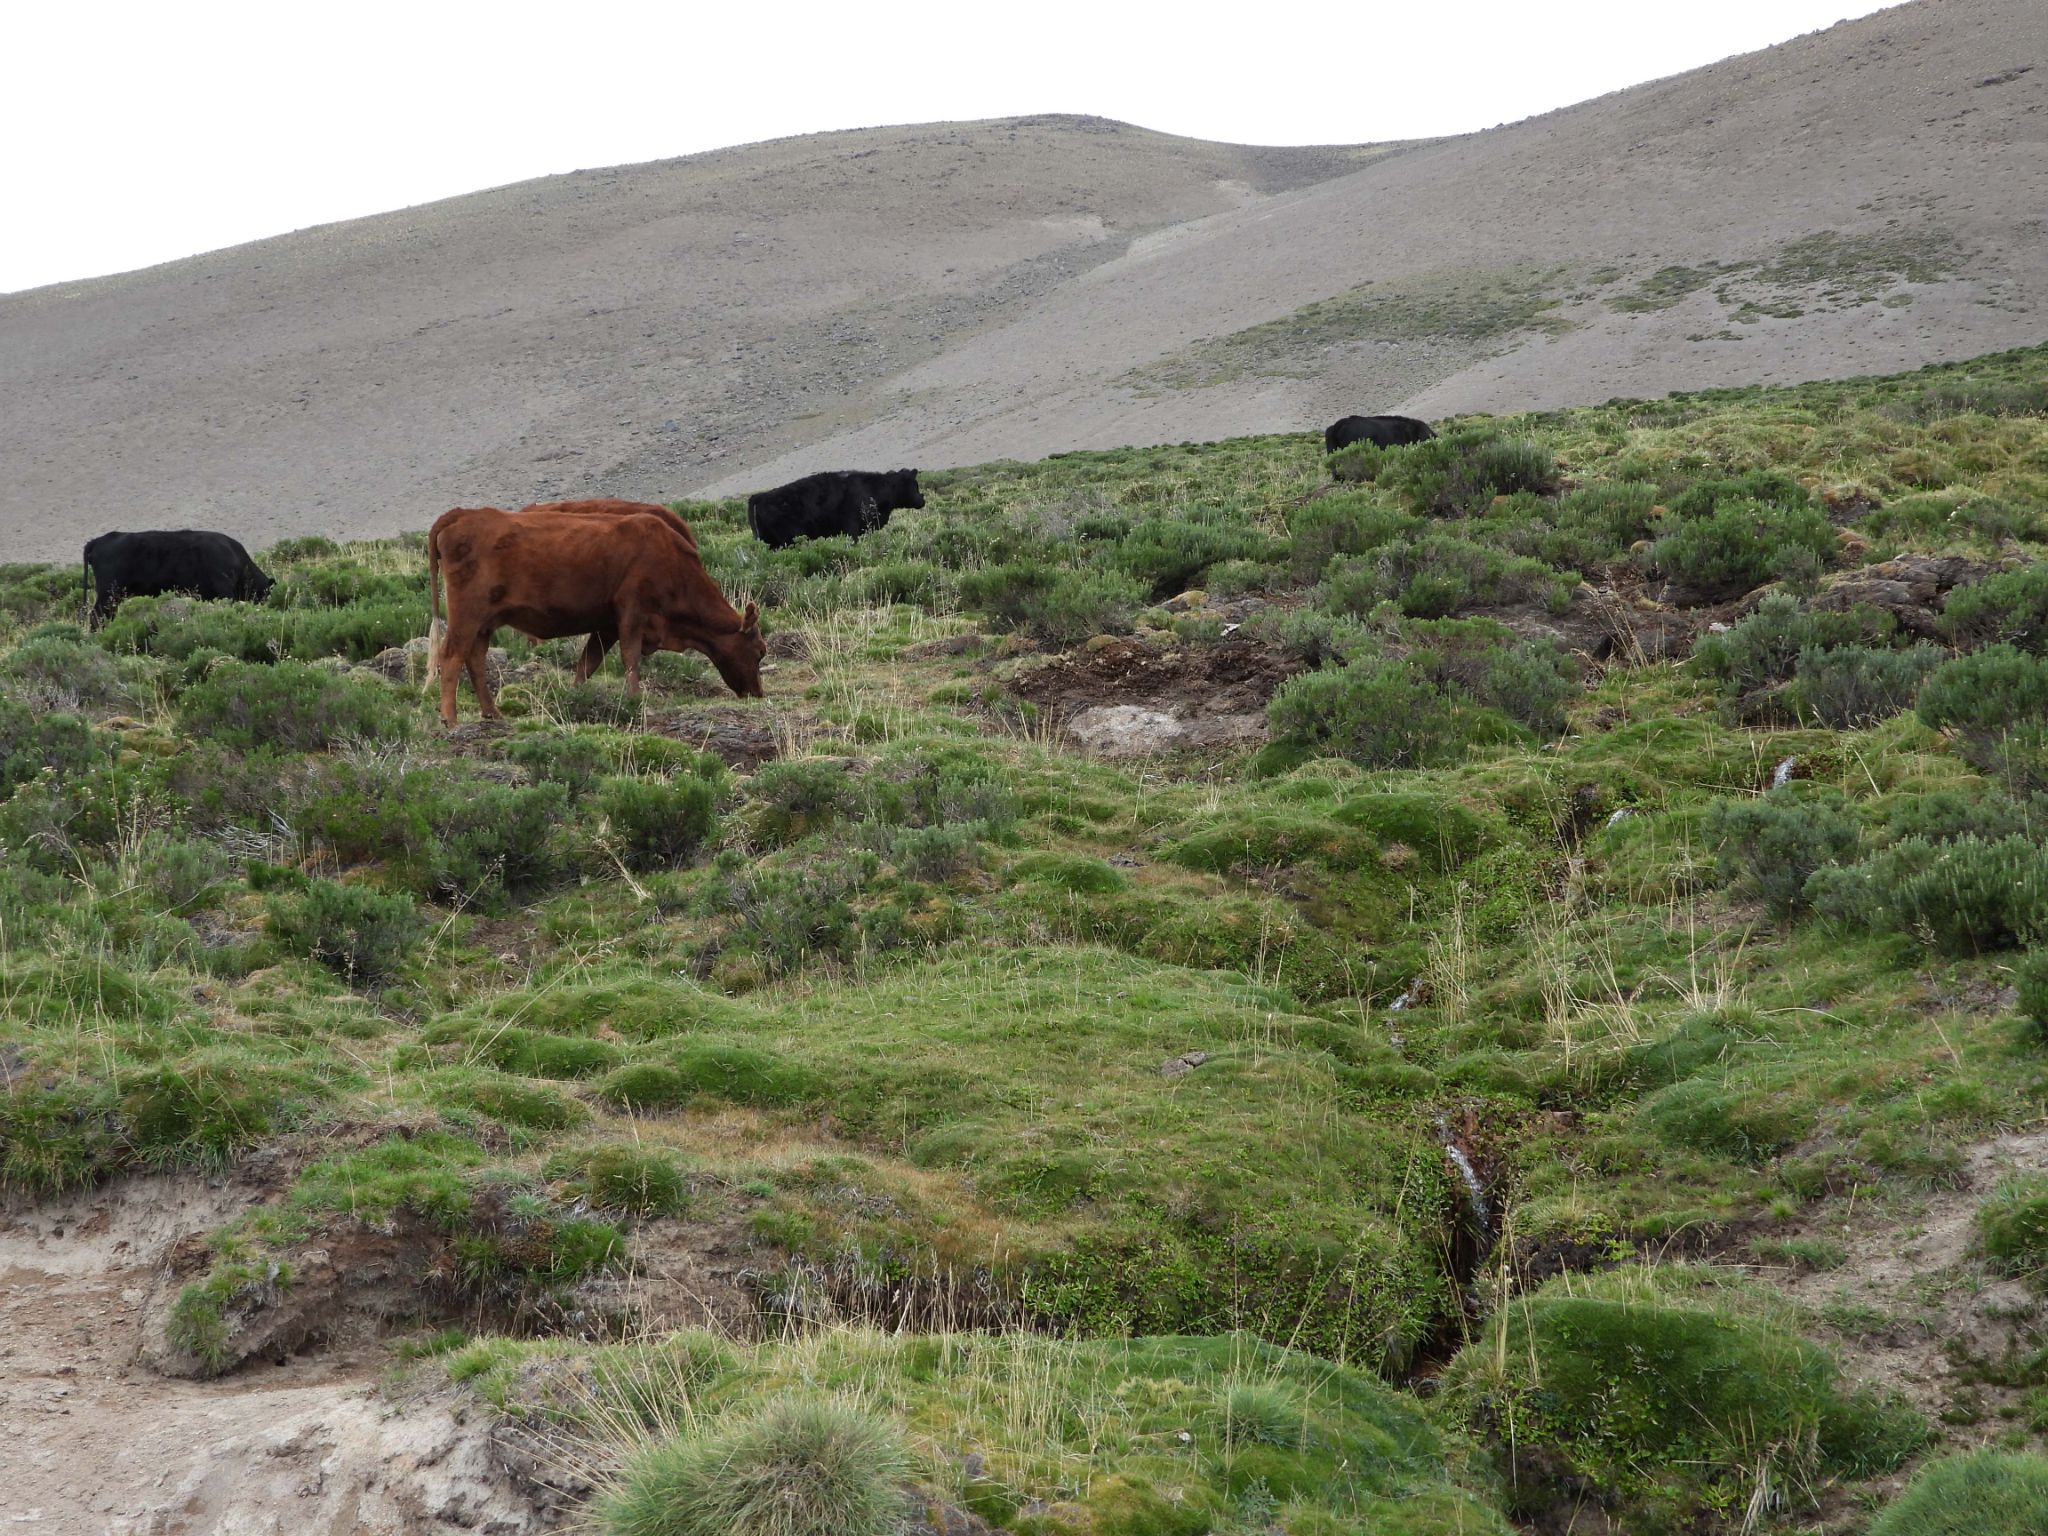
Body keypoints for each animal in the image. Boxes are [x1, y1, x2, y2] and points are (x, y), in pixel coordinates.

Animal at [426, 505, 762, 725]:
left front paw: (575, 699)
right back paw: (450, 719)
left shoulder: (607, 625)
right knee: (452, 656)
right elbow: (630, 659)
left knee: (475, 659)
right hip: (467, 616)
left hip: (485, 623)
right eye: (760, 651)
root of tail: (463, 514)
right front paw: (635, 698)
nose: (757, 693)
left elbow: (587, 665)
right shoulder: (632, 613)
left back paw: (493, 713)